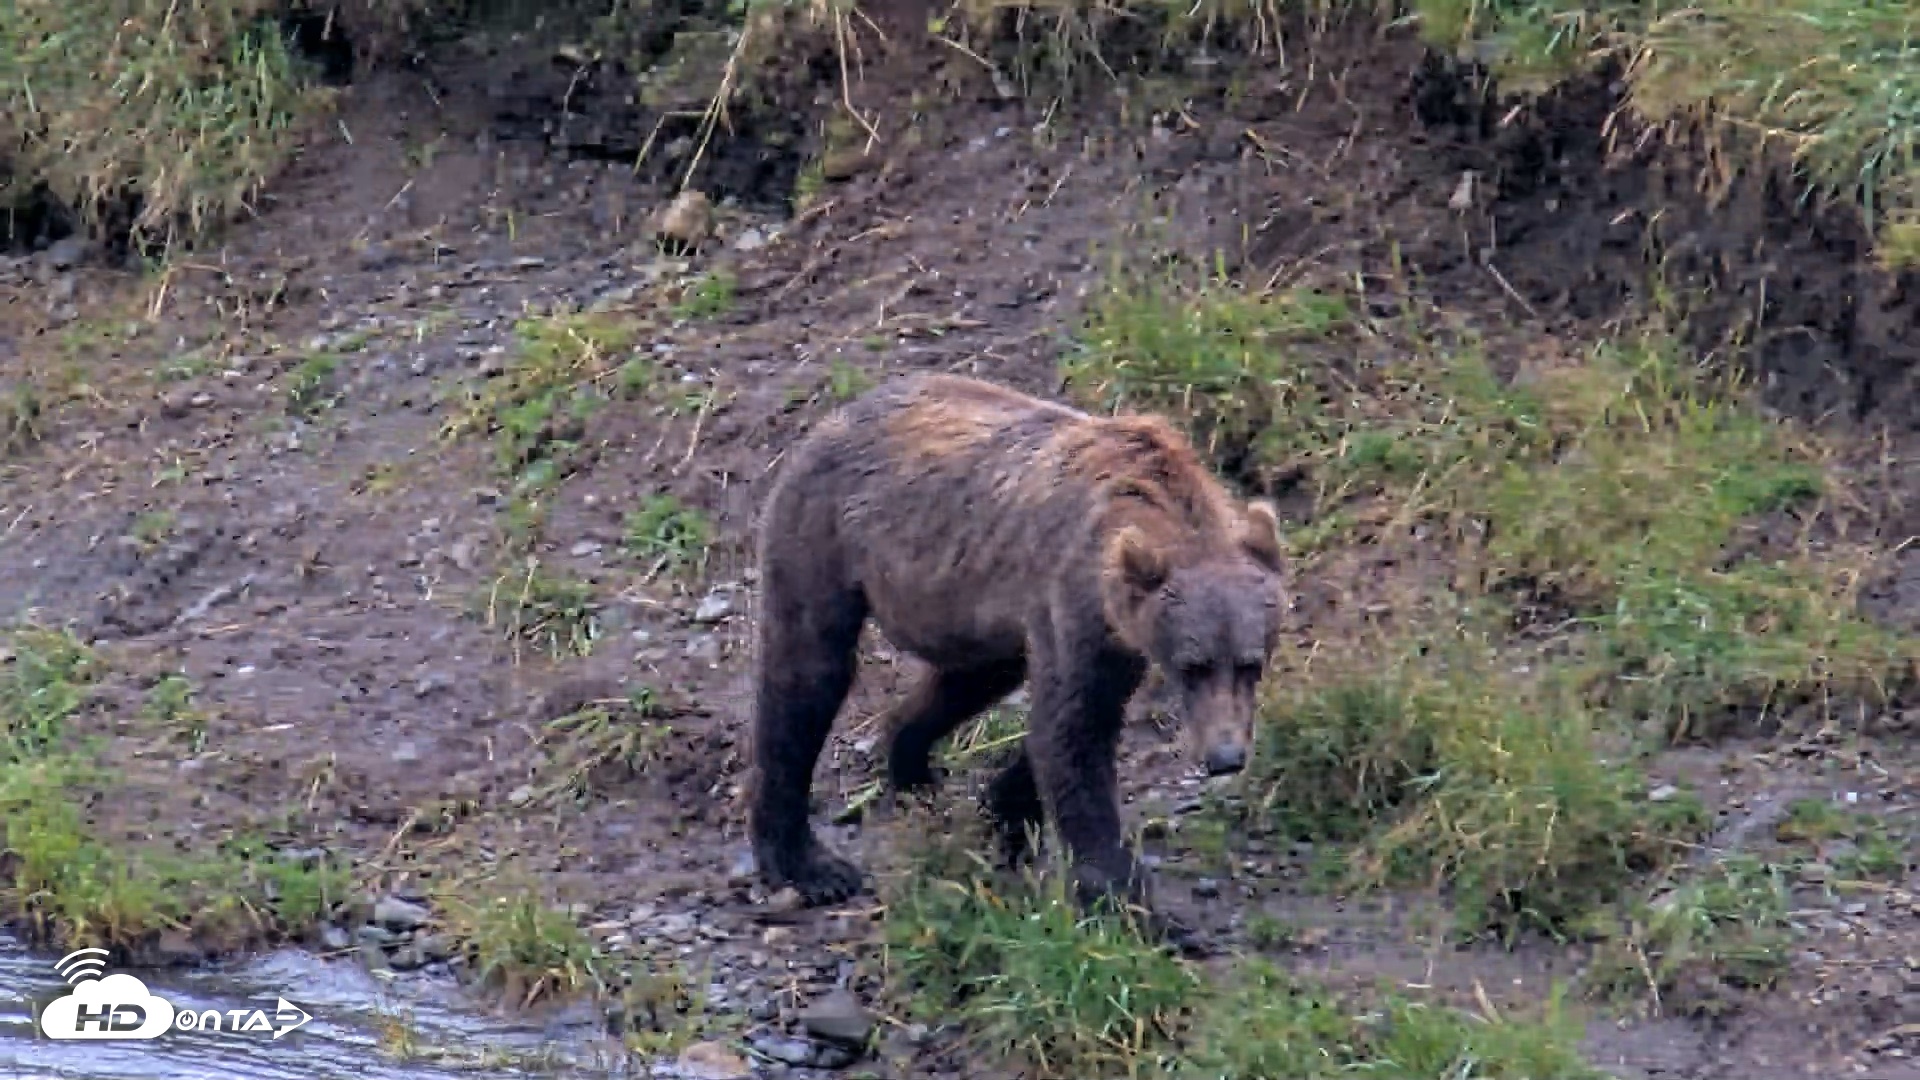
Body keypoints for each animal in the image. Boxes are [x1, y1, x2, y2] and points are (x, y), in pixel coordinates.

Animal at [746, 372, 1287, 931]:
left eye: (1251, 663)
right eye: (1193, 666)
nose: (1225, 757)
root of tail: (833, 417)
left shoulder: (1116, 633)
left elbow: (1073, 724)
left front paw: (1004, 813)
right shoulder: (1072, 596)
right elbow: (1074, 730)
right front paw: (1135, 907)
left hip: (968, 607)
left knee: (973, 677)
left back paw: (911, 769)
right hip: (823, 534)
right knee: (806, 675)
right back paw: (805, 862)